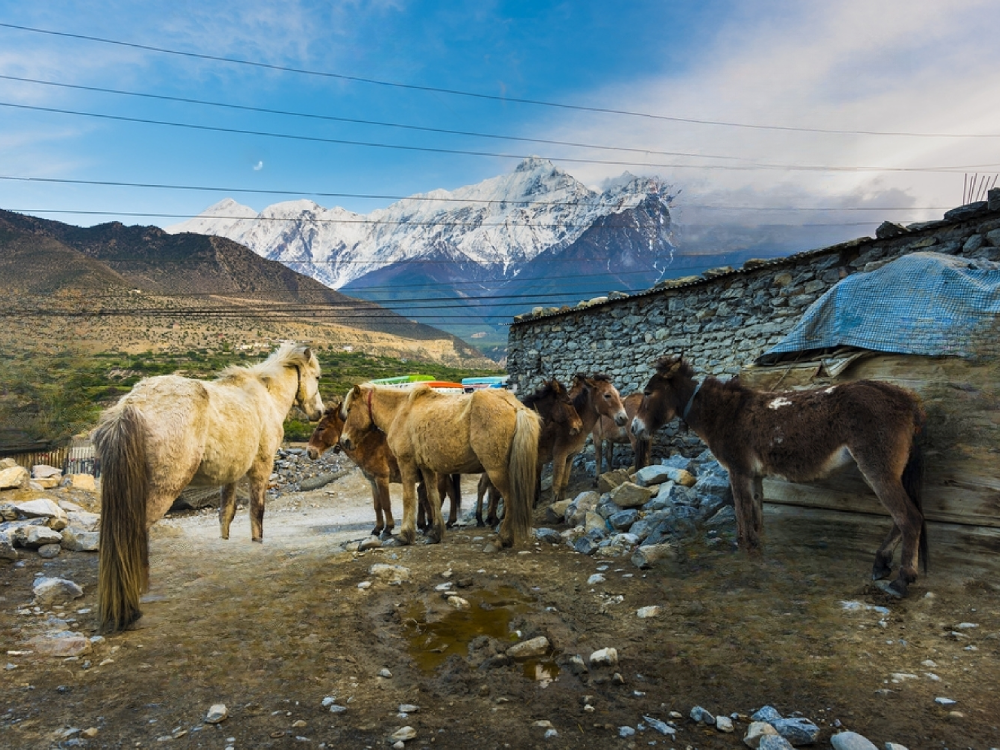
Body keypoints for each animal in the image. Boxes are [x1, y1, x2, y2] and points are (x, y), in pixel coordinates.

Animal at [92, 344, 322, 632]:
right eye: (317, 377)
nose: (320, 412)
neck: (265, 395)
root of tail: (130, 406)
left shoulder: (230, 476)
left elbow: (226, 514)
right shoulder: (261, 468)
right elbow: (257, 513)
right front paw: (257, 542)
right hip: (161, 491)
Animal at [306, 400, 462, 540]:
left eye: (321, 428)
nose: (309, 452)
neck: (370, 446)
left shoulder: (382, 478)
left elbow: (386, 503)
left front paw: (388, 529)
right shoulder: (372, 481)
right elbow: (377, 505)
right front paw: (377, 528)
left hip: (437, 474)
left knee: (439, 495)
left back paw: (434, 524)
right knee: (449, 492)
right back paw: (447, 521)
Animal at [340, 384, 540, 548]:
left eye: (349, 409)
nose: (344, 441)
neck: (401, 412)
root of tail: (515, 406)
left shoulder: (406, 463)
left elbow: (408, 498)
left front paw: (405, 535)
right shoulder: (427, 468)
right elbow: (432, 497)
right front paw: (435, 533)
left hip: (495, 470)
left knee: (509, 497)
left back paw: (503, 538)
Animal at [632, 356, 928, 600]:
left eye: (647, 393)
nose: (634, 428)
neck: (723, 413)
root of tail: (904, 397)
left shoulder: (738, 471)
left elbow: (742, 519)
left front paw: (746, 555)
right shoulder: (755, 476)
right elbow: (756, 519)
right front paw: (758, 552)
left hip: (877, 466)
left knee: (909, 518)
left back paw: (901, 581)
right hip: (886, 470)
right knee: (903, 517)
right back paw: (881, 564)